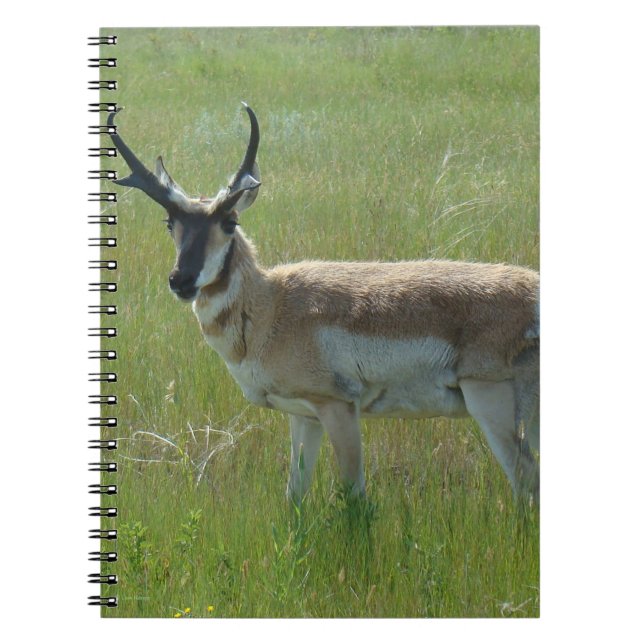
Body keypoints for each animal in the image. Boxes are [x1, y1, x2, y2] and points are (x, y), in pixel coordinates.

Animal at [108, 104, 540, 506]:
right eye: (170, 223)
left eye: (230, 221)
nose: (181, 280)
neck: (272, 305)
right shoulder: (303, 416)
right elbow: (294, 496)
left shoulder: (338, 407)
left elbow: (355, 497)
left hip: (490, 402)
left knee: (526, 486)